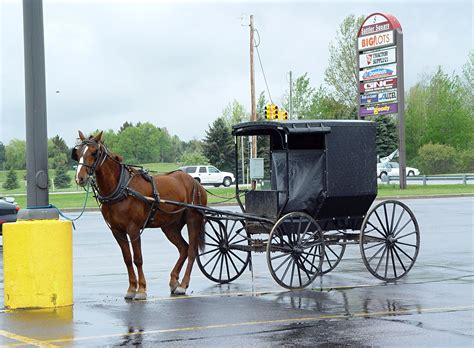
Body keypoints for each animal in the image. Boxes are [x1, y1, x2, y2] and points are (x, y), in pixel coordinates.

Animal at [72, 130, 207, 300]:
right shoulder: (117, 231)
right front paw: (131, 288)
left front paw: (141, 289)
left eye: (94, 152)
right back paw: (174, 281)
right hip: (170, 226)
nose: (80, 178)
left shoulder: (134, 229)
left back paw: (183, 285)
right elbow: (127, 259)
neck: (121, 188)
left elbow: (138, 259)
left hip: (193, 220)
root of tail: (195, 182)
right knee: (183, 248)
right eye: (77, 153)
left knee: (191, 251)